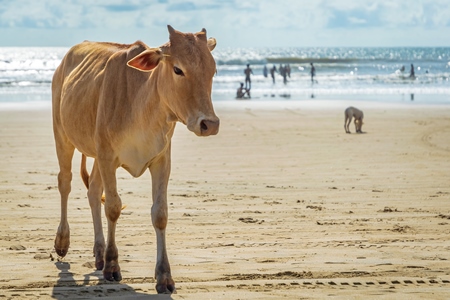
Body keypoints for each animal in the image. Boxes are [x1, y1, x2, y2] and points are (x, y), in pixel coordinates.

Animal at [51, 25, 219, 292]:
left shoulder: (161, 161)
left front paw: (164, 276)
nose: (209, 124)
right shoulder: (108, 157)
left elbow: (160, 214)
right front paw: (112, 265)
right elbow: (112, 207)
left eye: (213, 70)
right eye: (178, 69)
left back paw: (99, 252)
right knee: (65, 183)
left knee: (93, 191)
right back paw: (63, 242)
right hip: (62, 135)